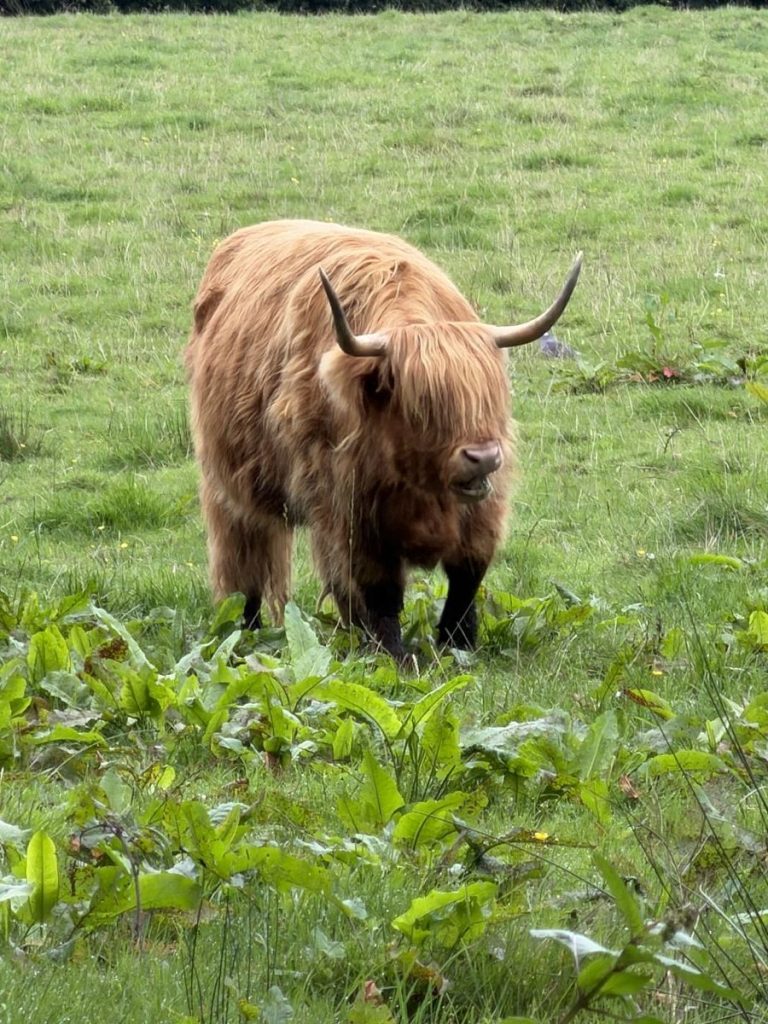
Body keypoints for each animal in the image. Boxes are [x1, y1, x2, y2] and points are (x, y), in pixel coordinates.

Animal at [185, 220, 581, 661]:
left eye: (485, 398)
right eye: (424, 406)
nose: (482, 456)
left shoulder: (482, 510)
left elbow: (467, 574)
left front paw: (458, 643)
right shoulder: (352, 508)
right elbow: (380, 588)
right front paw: (396, 656)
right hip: (233, 490)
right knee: (246, 569)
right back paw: (248, 634)